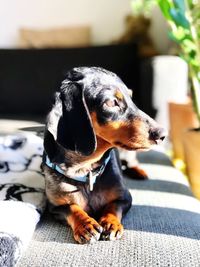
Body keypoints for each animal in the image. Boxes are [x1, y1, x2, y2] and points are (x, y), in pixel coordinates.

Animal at [42, 67, 166, 245]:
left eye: (131, 98)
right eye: (111, 102)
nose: (162, 134)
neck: (86, 170)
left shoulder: (125, 197)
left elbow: (112, 207)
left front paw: (110, 223)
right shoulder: (55, 207)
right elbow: (72, 208)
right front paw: (86, 225)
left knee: (131, 162)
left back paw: (139, 172)